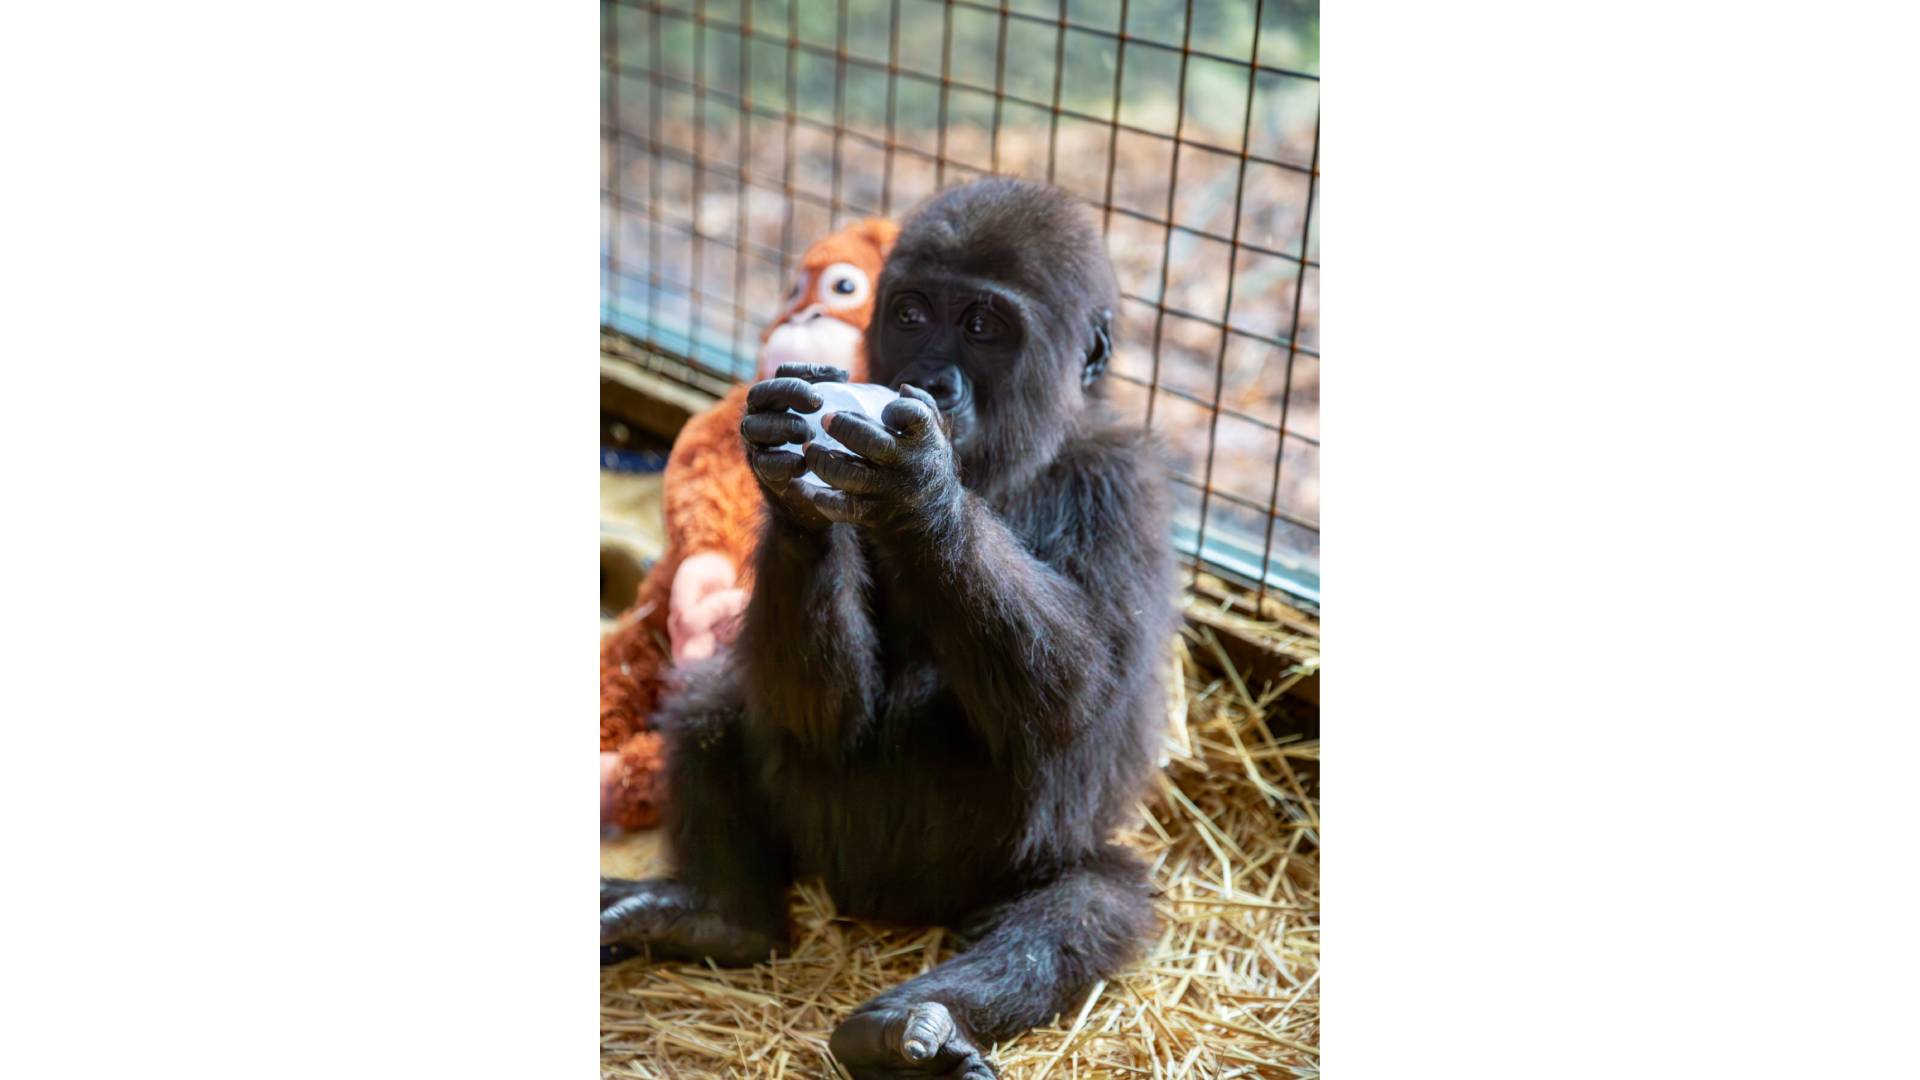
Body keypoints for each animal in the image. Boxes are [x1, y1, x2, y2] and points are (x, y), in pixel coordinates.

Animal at [602, 178, 1167, 1076]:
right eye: (909, 314)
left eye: (983, 326)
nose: (930, 380)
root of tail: (876, 909)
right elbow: (817, 712)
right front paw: (790, 488)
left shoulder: (1122, 485)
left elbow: (1077, 701)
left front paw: (922, 489)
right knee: (714, 704)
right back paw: (718, 916)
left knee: (1091, 903)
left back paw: (912, 1025)